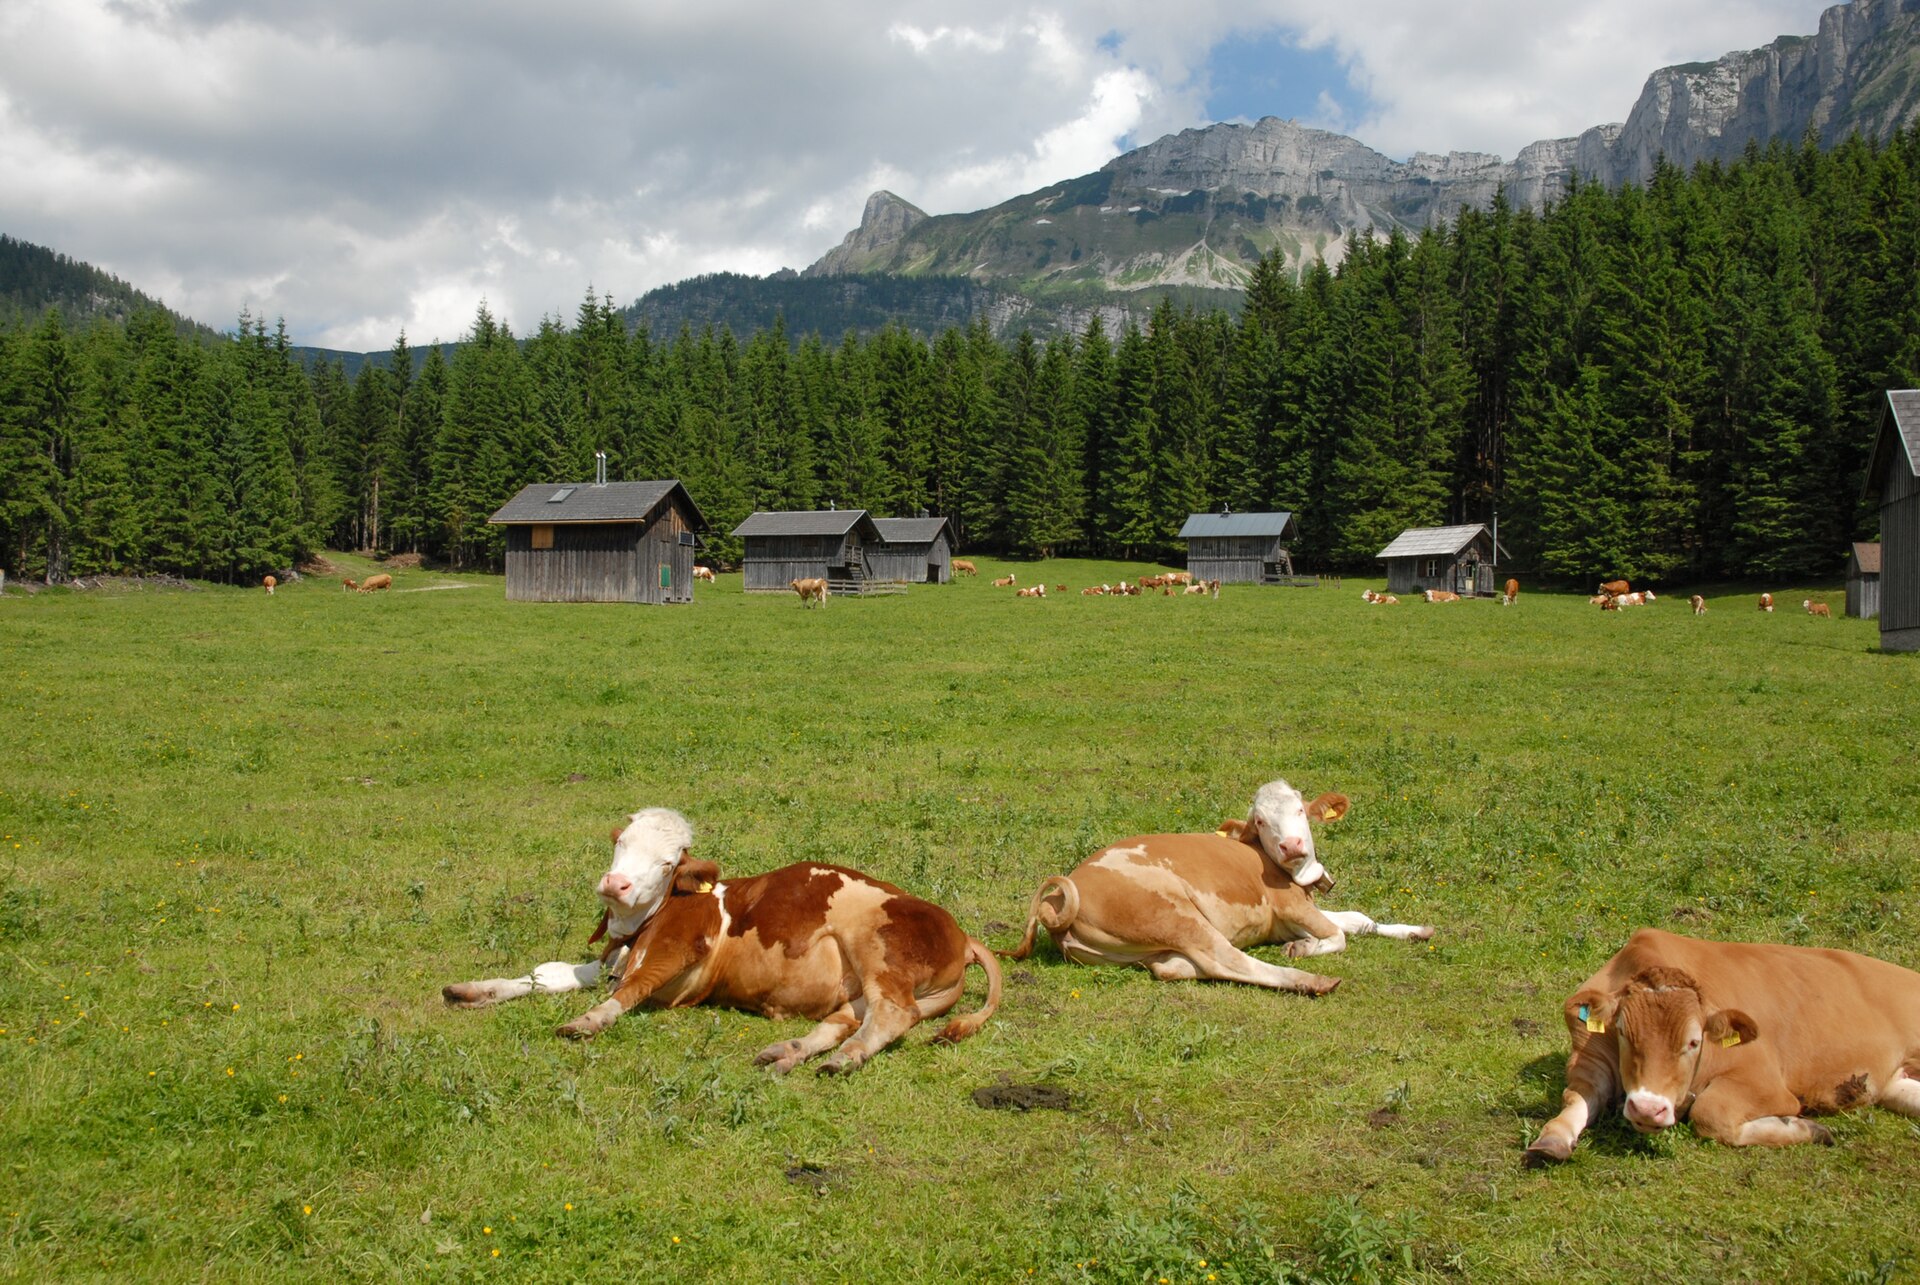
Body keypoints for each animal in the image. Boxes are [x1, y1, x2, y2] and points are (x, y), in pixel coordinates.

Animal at [444, 808, 1002, 1075]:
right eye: (621, 844)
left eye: (667, 863)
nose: (615, 884)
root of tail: (963, 932)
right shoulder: (610, 960)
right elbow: (547, 975)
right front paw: (474, 991)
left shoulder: (679, 948)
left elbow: (631, 988)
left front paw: (589, 1021)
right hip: (858, 991)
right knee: (842, 1023)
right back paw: (788, 1053)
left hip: (877, 953)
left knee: (891, 1016)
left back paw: (845, 1059)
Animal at [999, 780, 1433, 994]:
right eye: (1260, 821)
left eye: (1299, 809)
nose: (1292, 845)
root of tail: (1060, 896)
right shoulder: (1290, 908)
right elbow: (1338, 936)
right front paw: (1306, 948)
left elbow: (1359, 919)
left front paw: (1416, 930)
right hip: (1176, 916)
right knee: (1229, 960)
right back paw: (1313, 982)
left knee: (1172, 968)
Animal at [1524, 929, 1920, 1165]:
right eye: (1622, 1032)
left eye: (1694, 1041)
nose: (1647, 1109)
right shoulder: (1589, 1058)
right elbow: (1575, 1098)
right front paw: (1554, 1138)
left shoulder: (1763, 1081)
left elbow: (1710, 1113)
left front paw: (1803, 1127)